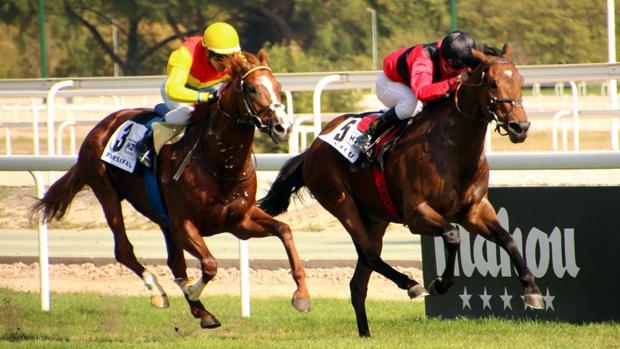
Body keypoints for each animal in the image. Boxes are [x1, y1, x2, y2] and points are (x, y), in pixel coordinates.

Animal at [30, 50, 310, 328]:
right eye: (252, 89)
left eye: (278, 87)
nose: (283, 127)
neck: (219, 163)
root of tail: (102, 125)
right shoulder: (183, 223)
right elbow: (210, 264)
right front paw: (192, 290)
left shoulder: (239, 221)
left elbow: (284, 230)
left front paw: (302, 296)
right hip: (106, 190)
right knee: (124, 249)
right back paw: (158, 292)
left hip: (163, 220)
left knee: (175, 262)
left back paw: (202, 313)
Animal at [260, 44, 544, 336]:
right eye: (492, 83)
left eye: (521, 80)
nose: (520, 127)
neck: (452, 148)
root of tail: (315, 145)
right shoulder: (417, 213)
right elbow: (453, 236)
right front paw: (440, 283)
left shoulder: (474, 211)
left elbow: (508, 239)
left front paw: (532, 290)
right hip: (340, 201)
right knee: (370, 255)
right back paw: (411, 285)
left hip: (376, 218)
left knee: (359, 281)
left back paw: (366, 333)